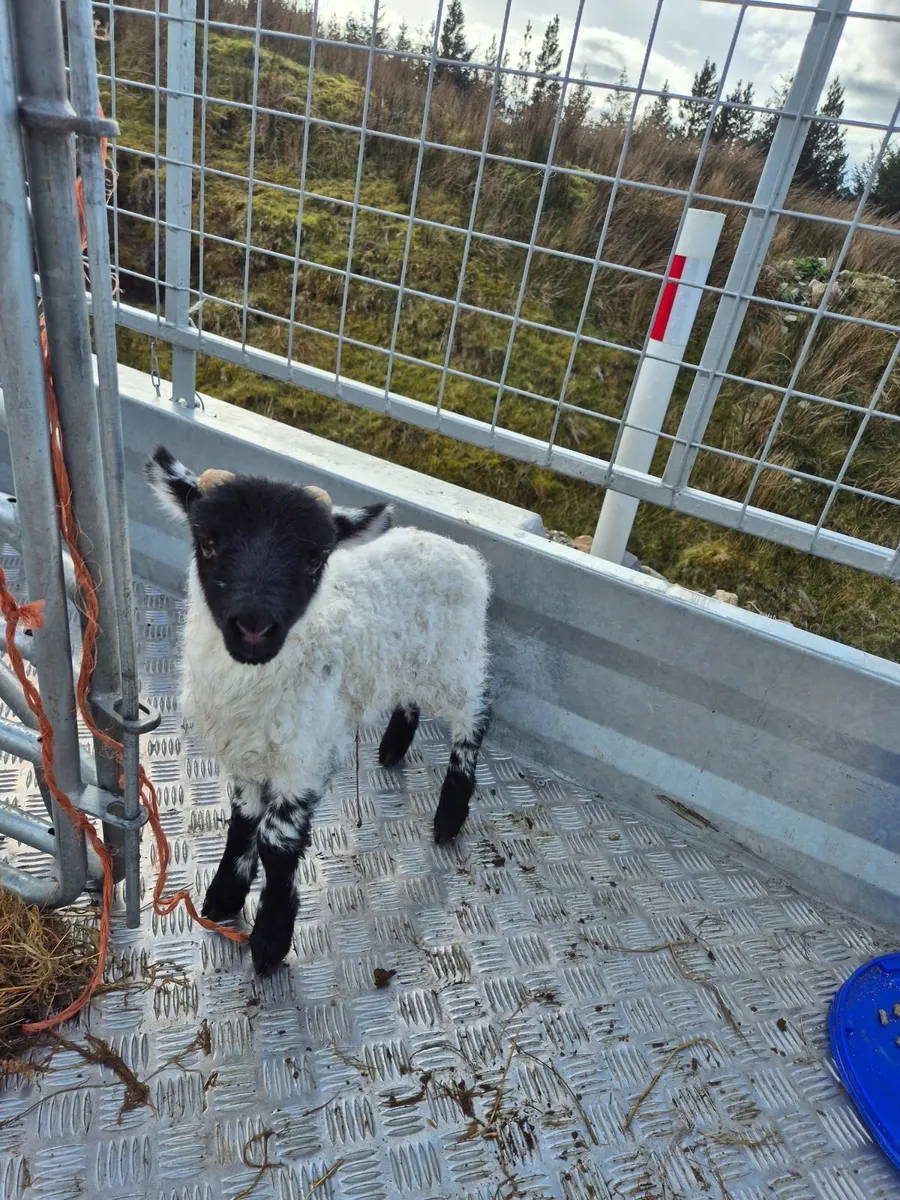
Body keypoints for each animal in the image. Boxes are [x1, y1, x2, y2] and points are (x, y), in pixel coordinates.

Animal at [146, 446, 491, 973]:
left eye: (315, 560)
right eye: (207, 542)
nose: (253, 625)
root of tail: (460, 551)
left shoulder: (302, 757)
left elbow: (277, 842)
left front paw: (270, 939)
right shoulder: (246, 753)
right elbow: (242, 821)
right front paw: (224, 897)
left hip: (455, 659)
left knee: (476, 715)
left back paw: (450, 815)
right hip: (406, 662)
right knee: (408, 696)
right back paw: (393, 747)